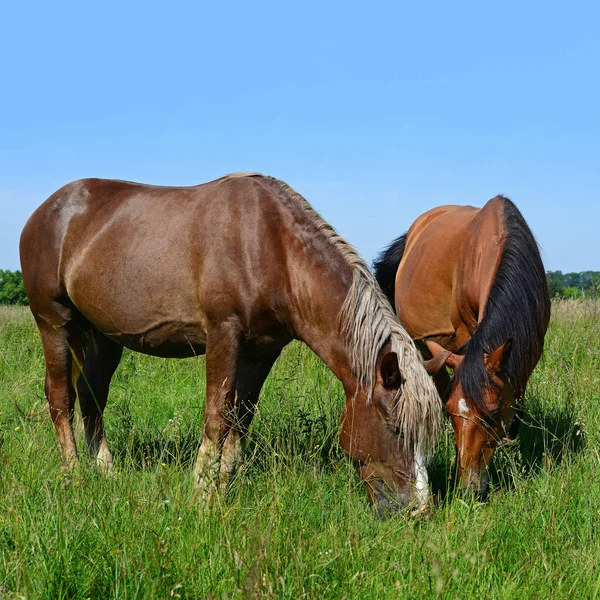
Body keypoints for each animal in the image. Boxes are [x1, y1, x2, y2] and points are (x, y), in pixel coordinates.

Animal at [19, 173, 440, 516]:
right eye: (396, 427)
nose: (417, 510)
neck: (272, 248)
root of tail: (43, 213)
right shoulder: (224, 333)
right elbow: (217, 416)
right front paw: (200, 498)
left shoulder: (262, 350)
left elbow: (241, 418)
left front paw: (221, 490)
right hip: (53, 323)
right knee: (61, 398)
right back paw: (74, 476)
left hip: (103, 338)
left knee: (91, 397)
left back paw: (106, 472)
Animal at [372, 196, 552, 496]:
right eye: (451, 410)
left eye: (492, 412)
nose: (470, 488)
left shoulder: (527, 350)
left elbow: (517, 392)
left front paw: (511, 439)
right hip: (427, 347)